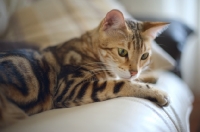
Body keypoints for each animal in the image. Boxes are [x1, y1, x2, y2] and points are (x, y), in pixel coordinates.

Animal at [0, 9, 169, 127]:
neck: (88, 49)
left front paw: (149, 76)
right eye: (122, 52)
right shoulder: (69, 87)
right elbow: (121, 83)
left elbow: (125, 78)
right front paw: (156, 92)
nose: (134, 71)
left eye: (144, 56)